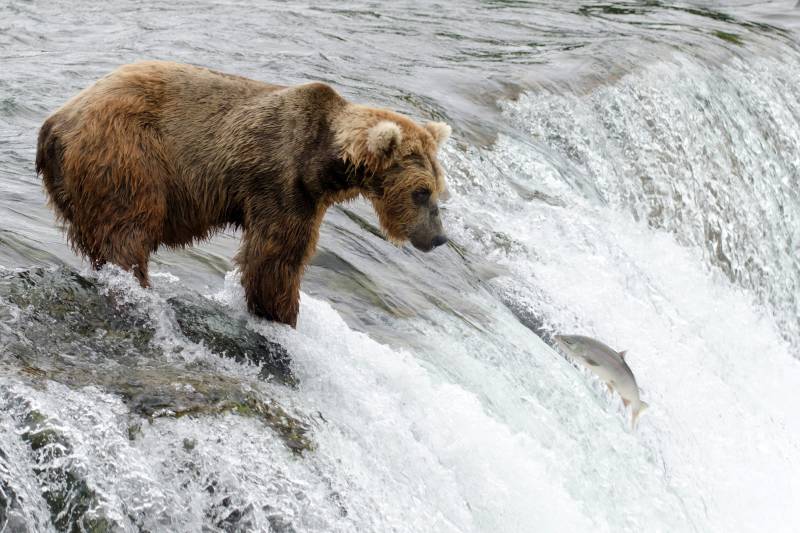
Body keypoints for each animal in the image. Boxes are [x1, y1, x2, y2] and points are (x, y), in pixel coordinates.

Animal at [35, 61, 450, 327]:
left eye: (439, 191)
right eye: (421, 192)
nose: (439, 238)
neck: (325, 161)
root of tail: (56, 122)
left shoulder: (308, 195)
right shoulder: (281, 179)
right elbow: (276, 257)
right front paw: (280, 313)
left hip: (73, 183)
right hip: (127, 153)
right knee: (127, 228)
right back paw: (135, 282)